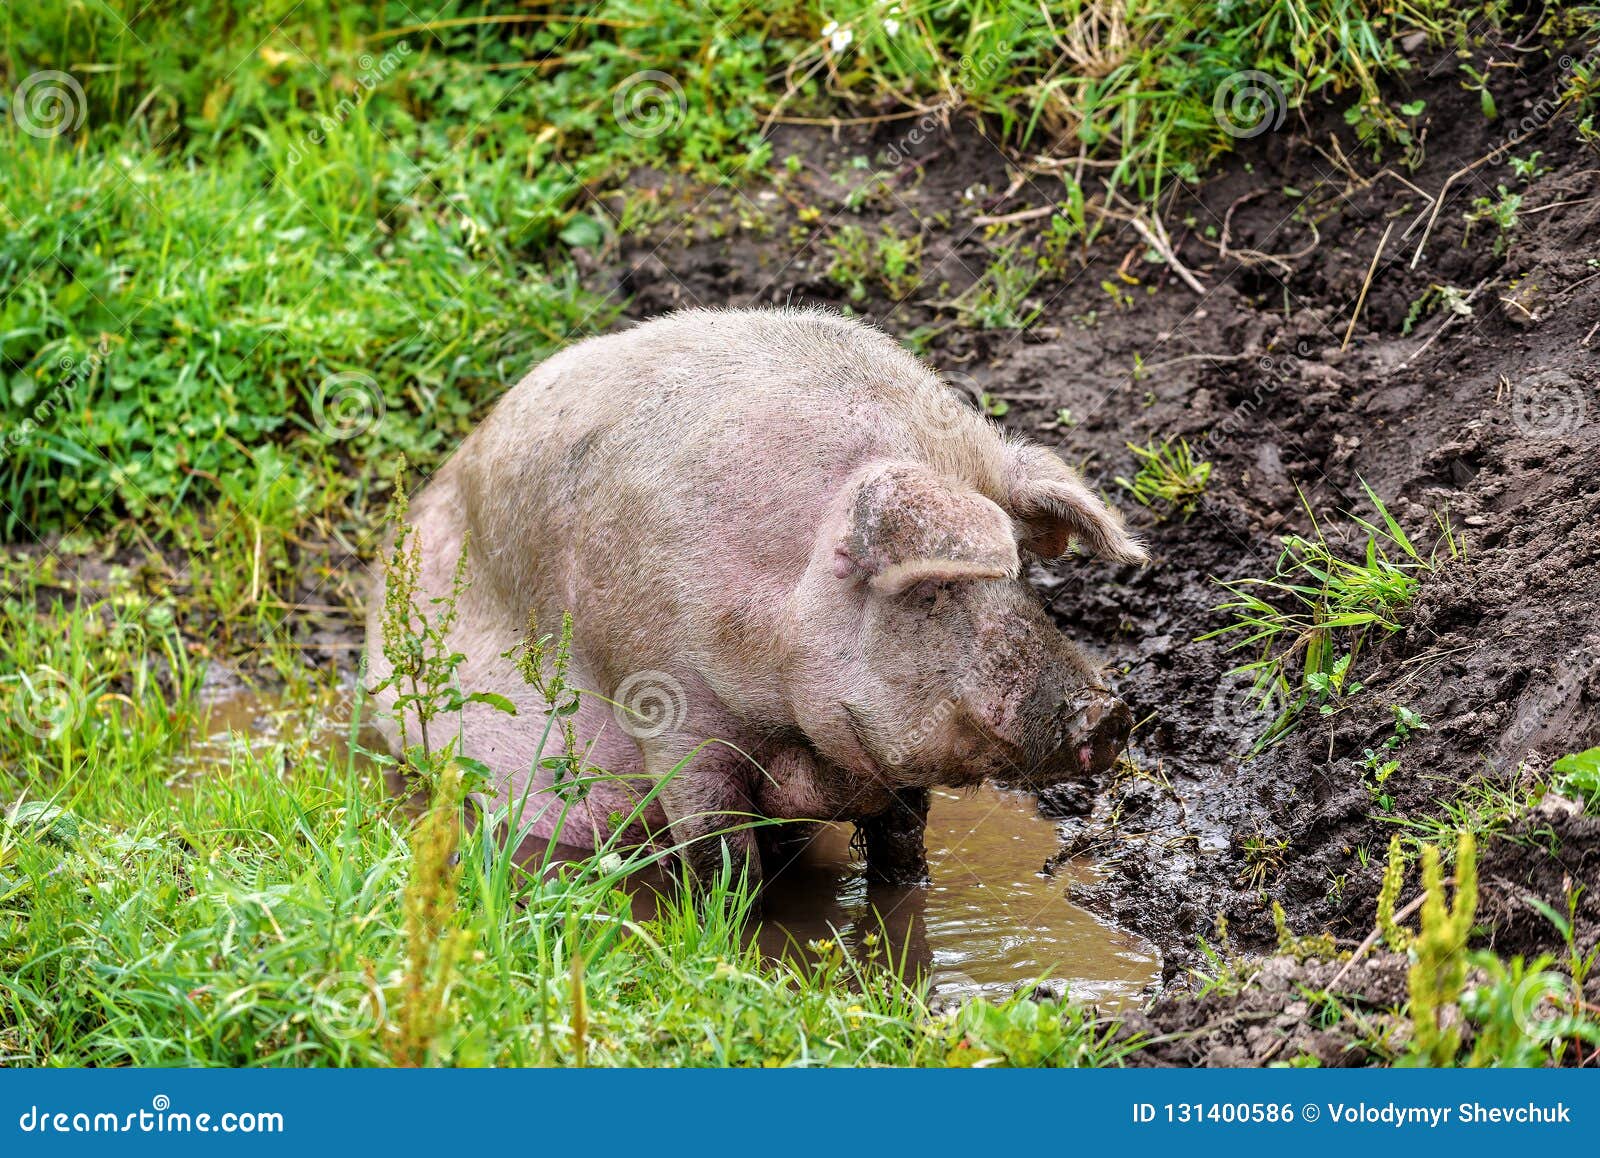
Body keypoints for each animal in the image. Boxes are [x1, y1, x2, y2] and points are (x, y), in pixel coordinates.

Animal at [364, 307, 1146, 889]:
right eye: (932, 591)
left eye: (1022, 575)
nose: (1106, 711)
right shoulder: (667, 707)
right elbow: (720, 853)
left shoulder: (887, 755)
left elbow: (902, 846)